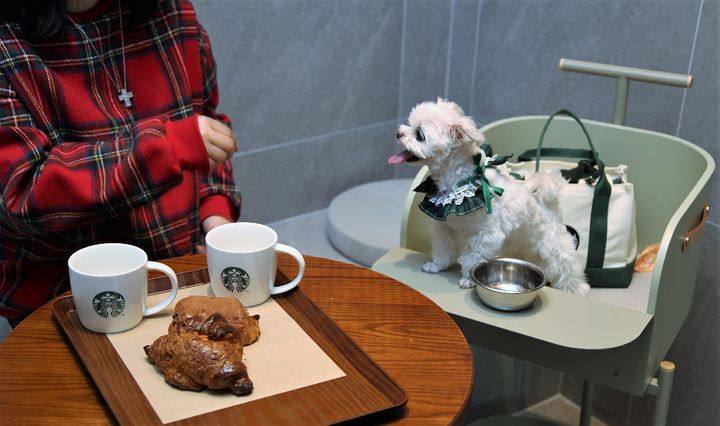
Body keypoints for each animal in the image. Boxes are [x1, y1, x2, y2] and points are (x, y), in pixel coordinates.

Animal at [390, 98, 588, 294]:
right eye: (409, 124)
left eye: (419, 134)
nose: (398, 133)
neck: (459, 186)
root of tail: (547, 202)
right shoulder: (445, 228)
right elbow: (443, 249)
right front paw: (437, 265)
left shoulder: (485, 236)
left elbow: (472, 258)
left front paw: (468, 279)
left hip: (554, 248)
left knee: (567, 270)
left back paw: (579, 290)